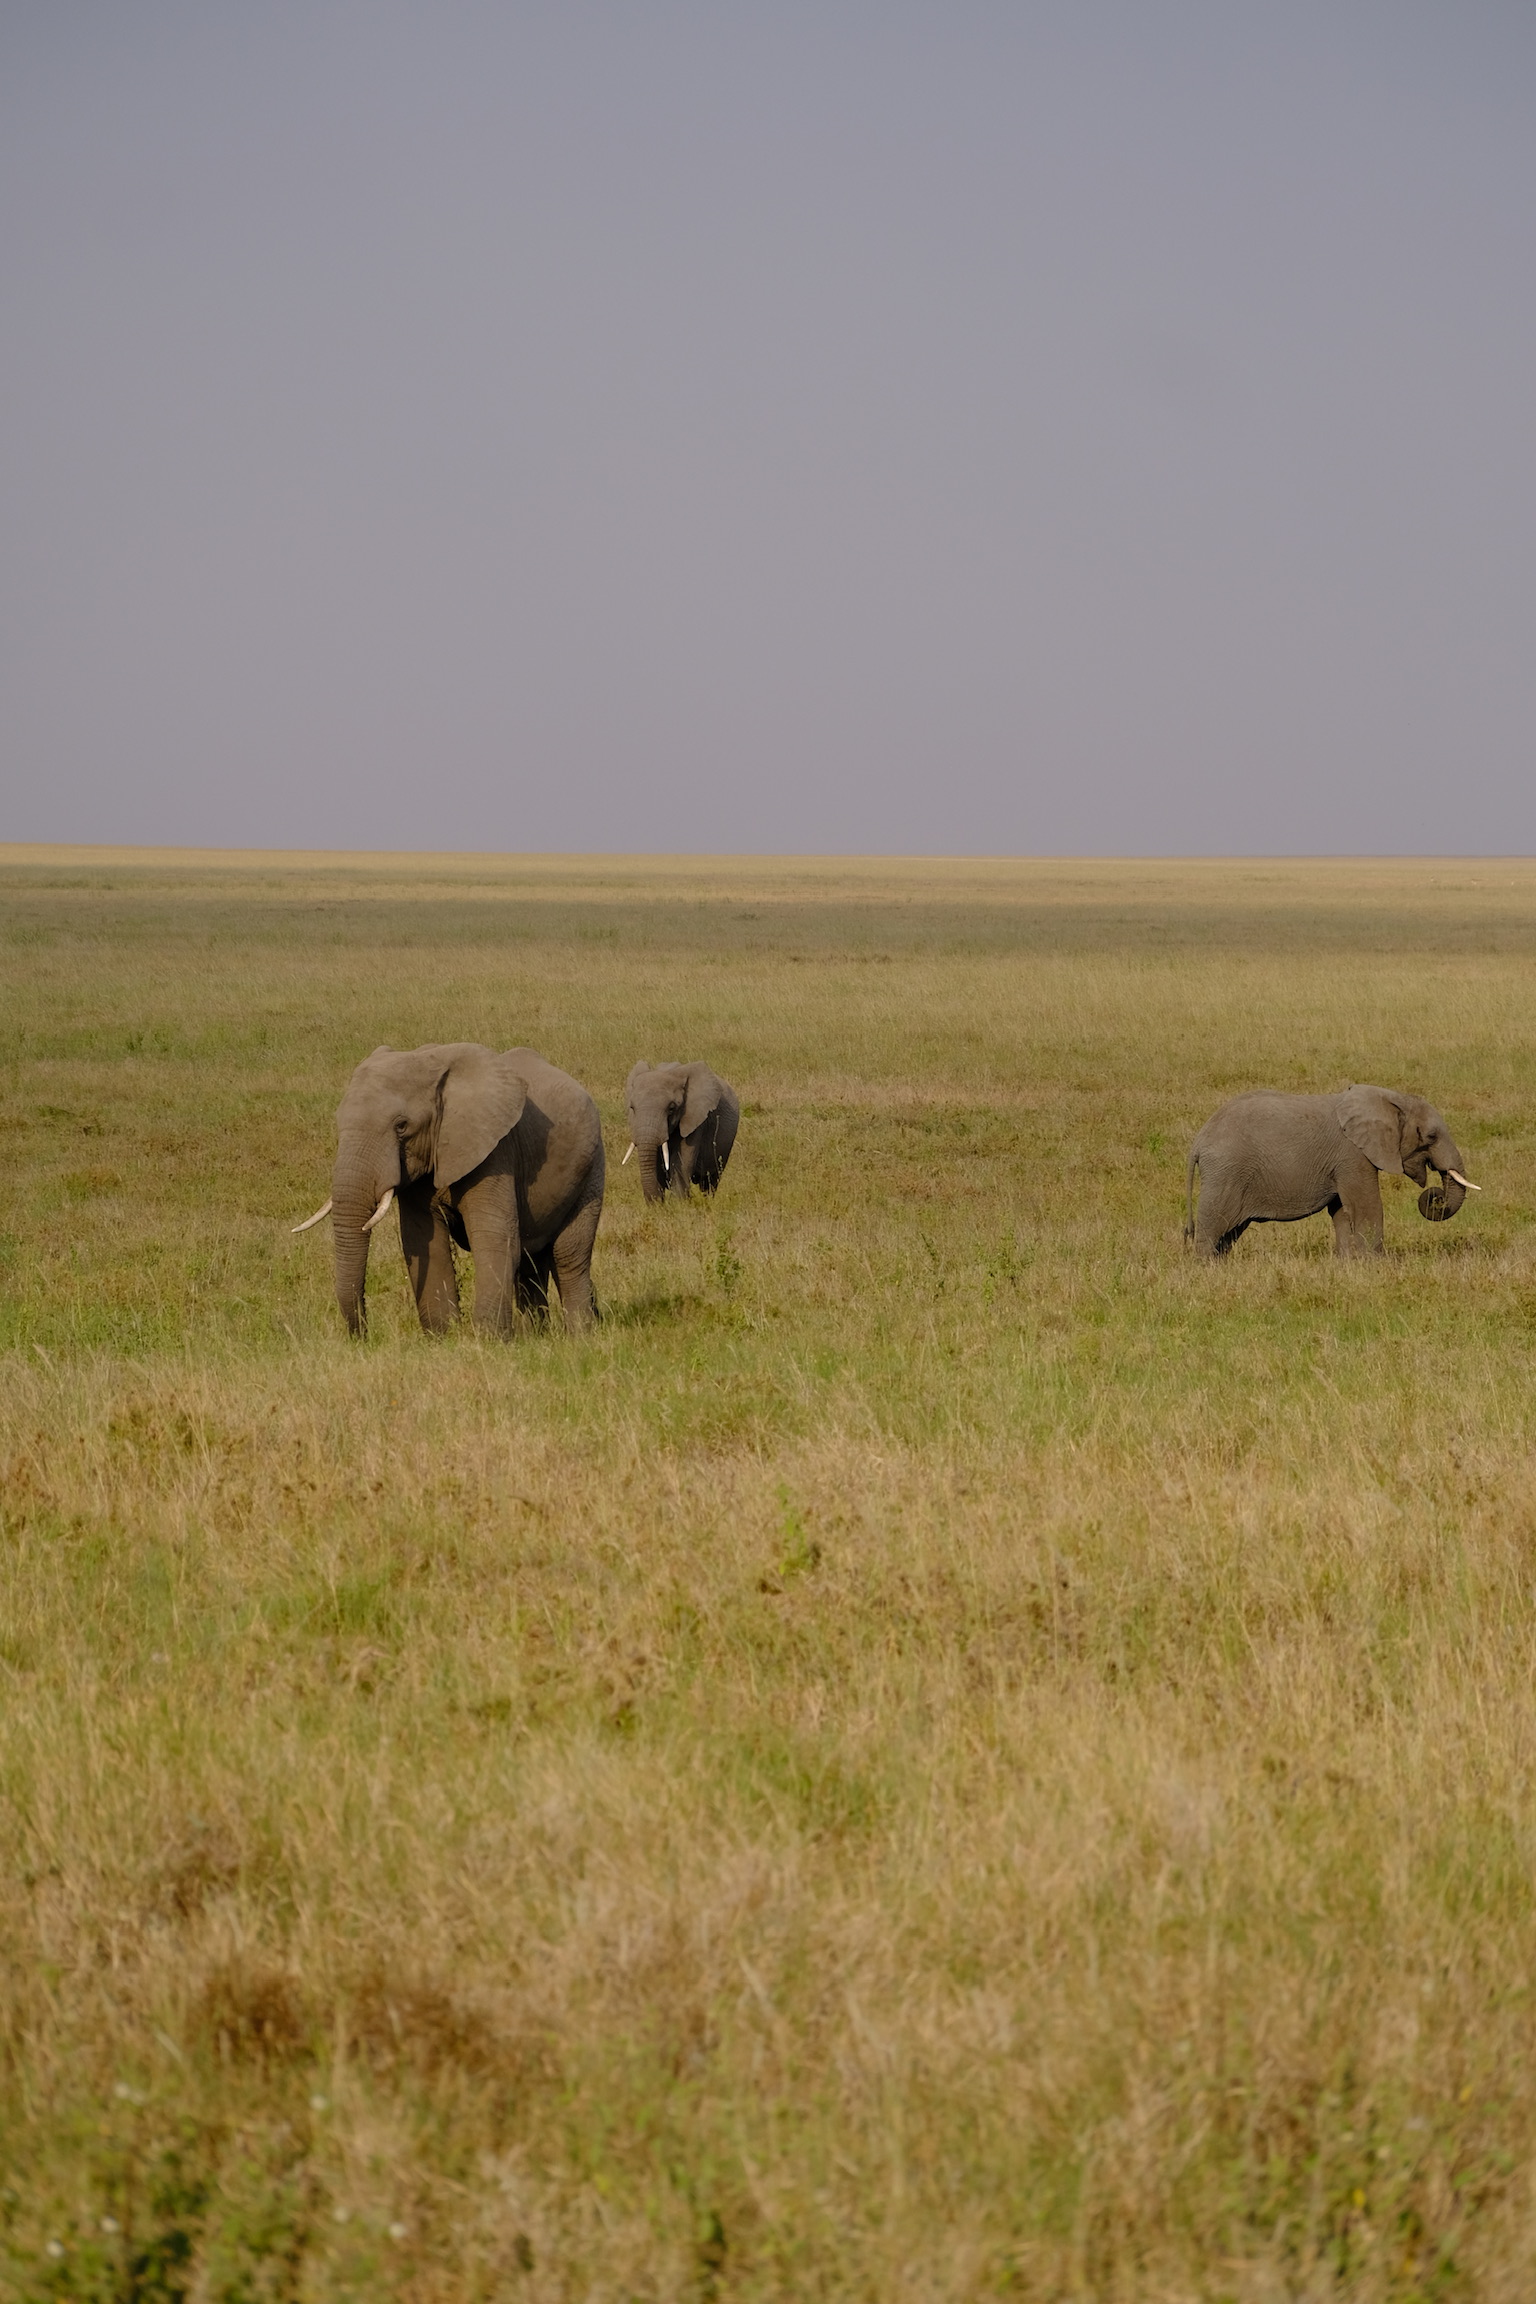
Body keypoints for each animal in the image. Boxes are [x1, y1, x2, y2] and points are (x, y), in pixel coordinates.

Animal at [291, 1043, 604, 1334]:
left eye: (401, 1126)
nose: (364, 1336)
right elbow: (423, 1240)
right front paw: (443, 1338)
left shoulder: (495, 1150)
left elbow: (494, 1237)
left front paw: (488, 1340)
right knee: (531, 1262)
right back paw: (536, 1336)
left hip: (592, 1169)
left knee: (568, 1255)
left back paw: (579, 1335)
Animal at [622, 1060, 739, 1202]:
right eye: (632, 1108)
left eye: (671, 1108)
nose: (655, 1204)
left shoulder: (696, 1119)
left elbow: (681, 1161)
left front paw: (678, 1204)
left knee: (710, 1180)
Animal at [1185, 1083, 1479, 1259]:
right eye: (1430, 1136)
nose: (1436, 1196)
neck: (1389, 1098)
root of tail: (1198, 1142)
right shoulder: (1352, 1155)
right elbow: (1366, 1206)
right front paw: (1377, 1264)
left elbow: (1341, 1211)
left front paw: (1348, 1264)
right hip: (1226, 1174)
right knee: (1214, 1224)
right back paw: (1205, 1268)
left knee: (1229, 1233)